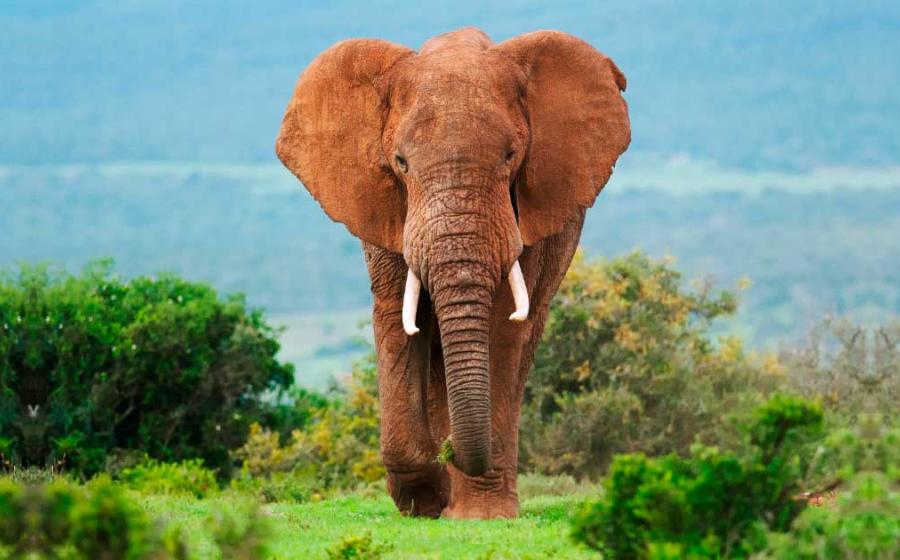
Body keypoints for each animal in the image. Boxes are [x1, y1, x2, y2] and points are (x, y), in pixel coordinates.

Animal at [276, 27, 630, 519]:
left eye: (510, 156)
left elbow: (502, 325)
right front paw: (425, 501)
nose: (452, 454)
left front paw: (477, 513)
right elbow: (398, 316)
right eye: (401, 162)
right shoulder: (387, 208)